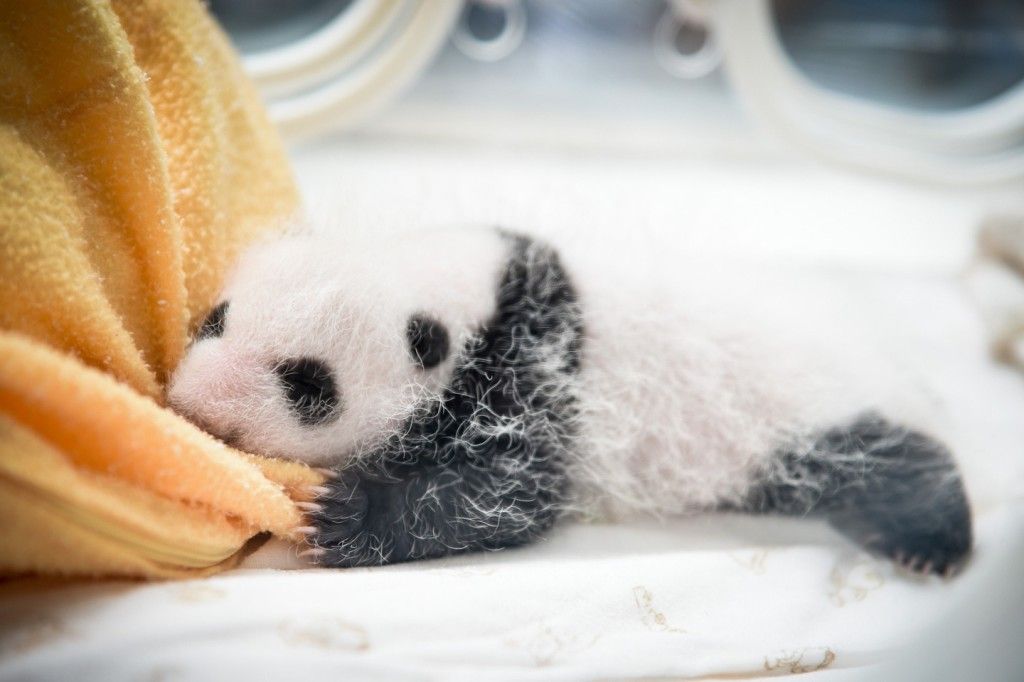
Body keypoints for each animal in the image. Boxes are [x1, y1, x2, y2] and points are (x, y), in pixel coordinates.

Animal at [167, 226, 973, 574]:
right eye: (215, 320)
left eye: (307, 383)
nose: (194, 408)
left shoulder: (532, 363)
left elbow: (518, 487)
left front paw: (344, 514)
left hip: (810, 410)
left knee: (883, 461)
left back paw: (933, 539)